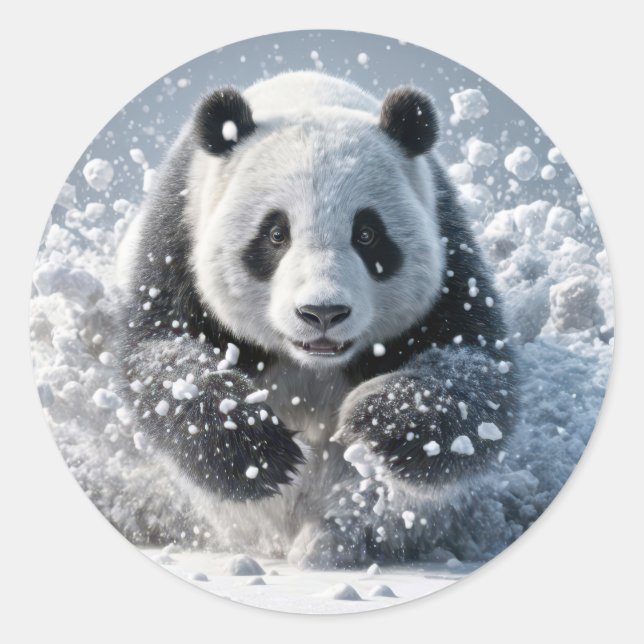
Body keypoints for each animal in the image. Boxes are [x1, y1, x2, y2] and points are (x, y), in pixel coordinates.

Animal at [117, 71, 518, 569]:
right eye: (275, 234)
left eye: (367, 234)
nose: (322, 313)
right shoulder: (177, 241)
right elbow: (163, 360)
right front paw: (258, 449)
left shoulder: (448, 248)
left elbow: (477, 378)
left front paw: (376, 425)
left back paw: (329, 542)